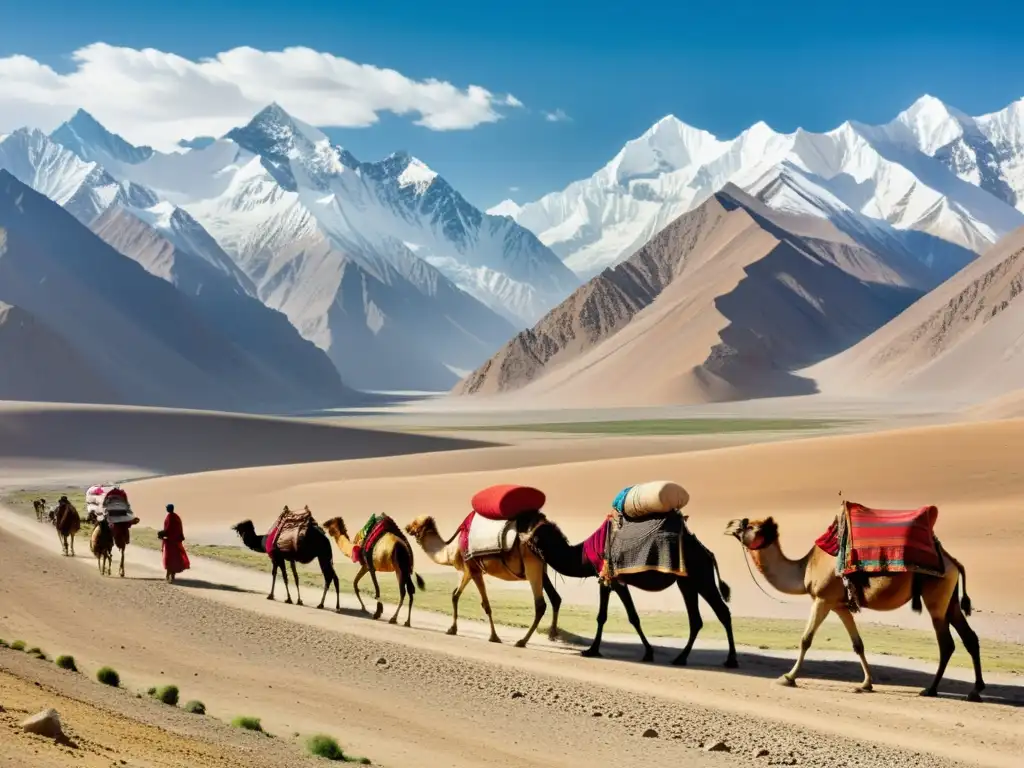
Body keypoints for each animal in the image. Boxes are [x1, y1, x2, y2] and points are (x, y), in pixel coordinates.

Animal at [401, 518, 561, 651]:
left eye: (415, 523)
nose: (406, 527)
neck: (452, 550)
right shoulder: (469, 570)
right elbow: (455, 595)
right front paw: (452, 629)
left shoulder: (474, 570)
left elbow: (486, 605)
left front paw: (494, 637)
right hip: (541, 569)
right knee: (555, 598)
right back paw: (552, 634)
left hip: (532, 566)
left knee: (540, 604)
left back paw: (522, 641)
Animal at [528, 518, 737, 667]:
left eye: (535, 535)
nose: (526, 540)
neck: (584, 556)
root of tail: (707, 552)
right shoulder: (612, 581)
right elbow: (616, 616)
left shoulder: (612, 580)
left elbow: (620, 616)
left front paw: (592, 650)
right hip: (687, 582)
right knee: (696, 620)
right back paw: (681, 658)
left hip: (701, 578)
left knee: (722, 612)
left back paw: (731, 660)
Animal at [724, 518, 987, 704]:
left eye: (750, 525)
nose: (728, 525)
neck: (805, 567)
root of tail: (954, 562)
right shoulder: (840, 605)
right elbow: (857, 644)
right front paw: (866, 684)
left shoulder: (822, 599)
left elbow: (806, 639)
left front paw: (788, 678)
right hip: (950, 601)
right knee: (970, 638)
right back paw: (975, 690)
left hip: (936, 599)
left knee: (947, 644)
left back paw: (931, 689)